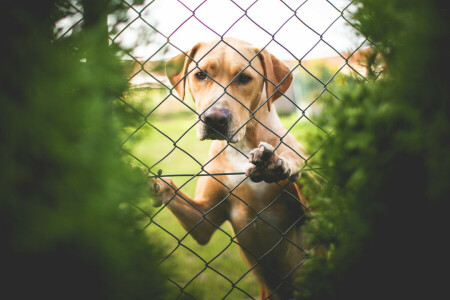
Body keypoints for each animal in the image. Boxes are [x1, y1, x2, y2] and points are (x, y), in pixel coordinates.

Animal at [151, 38, 310, 300]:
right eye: (201, 74)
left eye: (244, 78)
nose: (215, 119)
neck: (242, 146)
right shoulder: (204, 219)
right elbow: (174, 192)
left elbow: (299, 164)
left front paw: (282, 162)